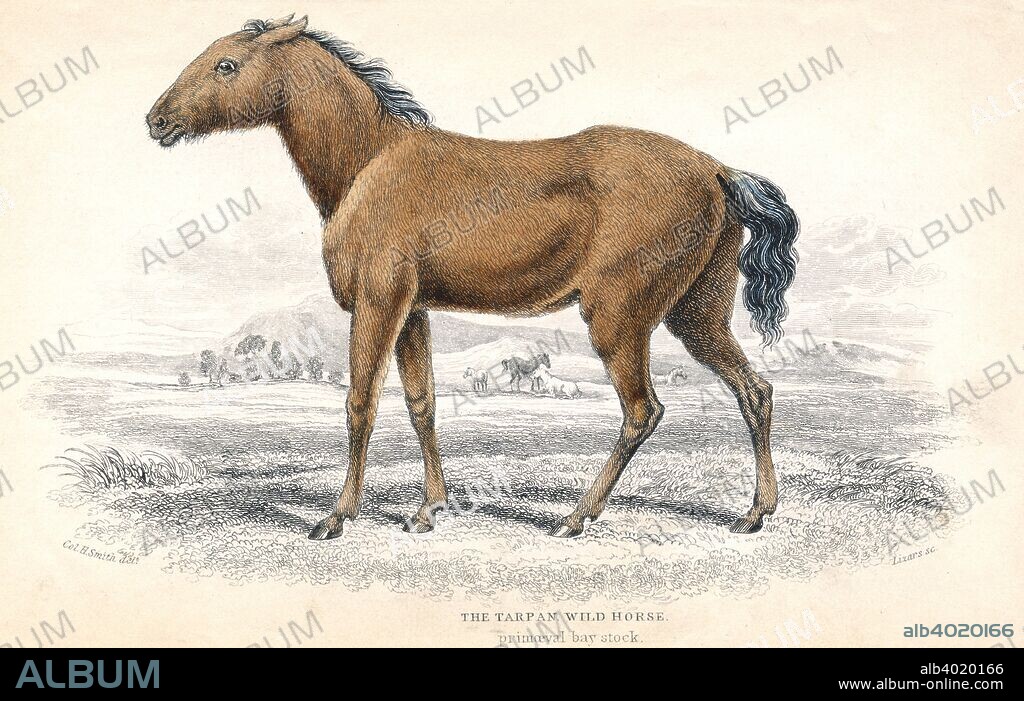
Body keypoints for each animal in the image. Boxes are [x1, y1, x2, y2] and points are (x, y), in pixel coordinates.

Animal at [147, 15, 799, 541]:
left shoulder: (378, 303)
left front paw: (336, 516)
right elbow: (422, 403)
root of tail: (719, 171)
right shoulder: (412, 310)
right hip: (696, 315)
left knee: (643, 411)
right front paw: (429, 508)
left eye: (226, 64)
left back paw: (576, 517)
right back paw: (755, 512)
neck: (370, 161)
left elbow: (361, 402)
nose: (156, 120)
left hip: (619, 319)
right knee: (755, 391)